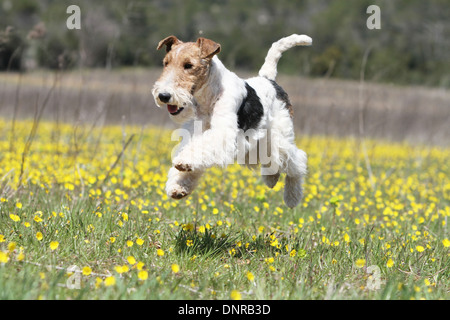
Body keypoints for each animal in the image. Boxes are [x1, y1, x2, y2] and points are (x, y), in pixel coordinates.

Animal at [153, 33, 312, 208]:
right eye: (166, 63)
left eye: (188, 65)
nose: (163, 95)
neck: (210, 95)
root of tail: (269, 80)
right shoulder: (195, 133)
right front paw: (178, 186)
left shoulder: (223, 133)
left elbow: (199, 148)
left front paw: (183, 162)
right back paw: (271, 179)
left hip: (280, 135)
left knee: (296, 159)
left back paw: (292, 197)